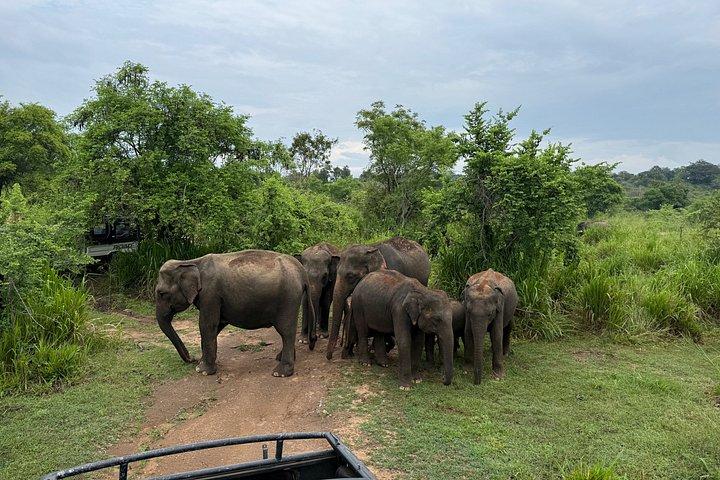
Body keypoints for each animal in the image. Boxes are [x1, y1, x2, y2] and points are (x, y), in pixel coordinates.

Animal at [155, 250, 315, 378]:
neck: (190, 262)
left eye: (161, 294)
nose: (192, 358)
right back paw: (280, 358)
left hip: (288, 298)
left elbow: (207, 325)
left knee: (286, 331)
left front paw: (203, 370)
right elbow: (217, 325)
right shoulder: (214, 298)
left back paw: (280, 373)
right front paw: (202, 363)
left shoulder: (210, 294)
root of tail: (302, 271)